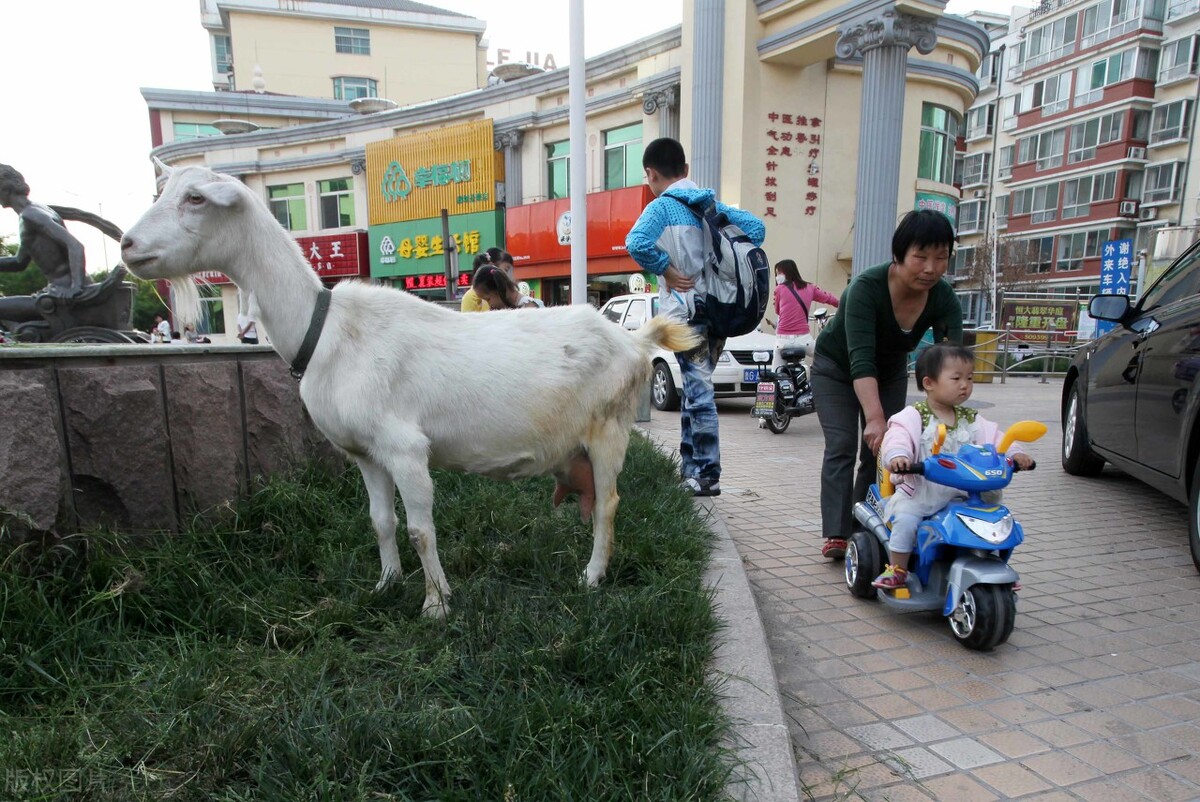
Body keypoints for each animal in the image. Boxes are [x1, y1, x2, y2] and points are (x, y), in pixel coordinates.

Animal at [117, 160, 700, 614]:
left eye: (195, 198)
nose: (127, 244)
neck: (326, 329)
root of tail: (634, 339)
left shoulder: (405, 448)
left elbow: (421, 529)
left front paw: (437, 605)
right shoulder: (366, 453)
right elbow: (381, 522)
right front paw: (386, 584)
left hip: (609, 429)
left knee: (608, 502)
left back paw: (592, 576)